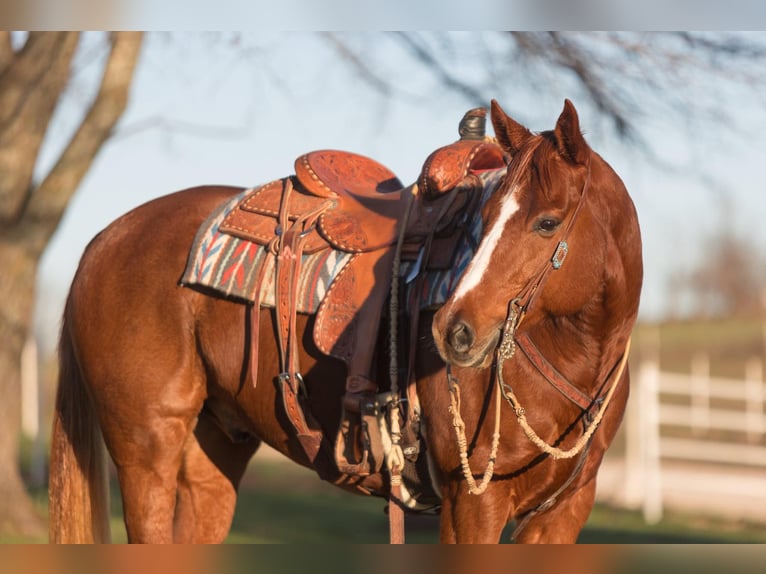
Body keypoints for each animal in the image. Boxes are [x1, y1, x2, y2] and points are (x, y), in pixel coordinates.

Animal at [48, 99, 642, 544]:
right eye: (488, 216)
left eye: (547, 223)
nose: (454, 330)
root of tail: (105, 239)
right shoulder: (472, 506)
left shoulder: (563, 513)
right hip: (146, 449)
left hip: (214, 451)